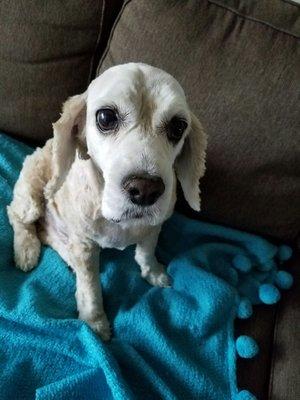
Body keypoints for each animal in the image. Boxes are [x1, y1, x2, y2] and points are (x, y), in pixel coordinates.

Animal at [8, 63, 207, 340]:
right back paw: (26, 250)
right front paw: (95, 322)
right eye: (105, 118)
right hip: (32, 192)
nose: (146, 189)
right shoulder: (84, 244)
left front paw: (154, 272)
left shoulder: (153, 227)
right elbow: (91, 287)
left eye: (178, 127)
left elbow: (146, 252)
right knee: (17, 215)